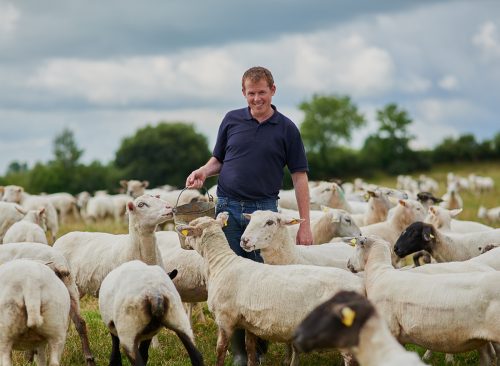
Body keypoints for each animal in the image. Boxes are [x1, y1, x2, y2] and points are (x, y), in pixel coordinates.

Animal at [176, 212, 364, 366]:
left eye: (191, 227)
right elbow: (250, 348)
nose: (183, 242)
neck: (221, 262)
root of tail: (360, 286)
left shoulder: (225, 319)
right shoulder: (248, 321)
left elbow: (220, 351)